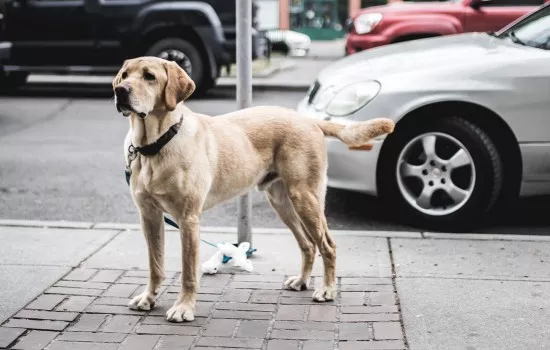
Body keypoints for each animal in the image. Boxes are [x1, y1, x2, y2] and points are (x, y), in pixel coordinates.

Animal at [113, 56, 396, 322]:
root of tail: (309, 120)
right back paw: (302, 281)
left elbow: (188, 272)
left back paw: (327, 289)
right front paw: (148, 298)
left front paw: (184, 308)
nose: (120, 91)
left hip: (306, 197)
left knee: (327, 245)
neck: (155, 145)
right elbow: (155, 264)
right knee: (307, 245)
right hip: (283, 202)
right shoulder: (149, 216)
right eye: (124, 75)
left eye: (149, 76)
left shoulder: (188, 219)